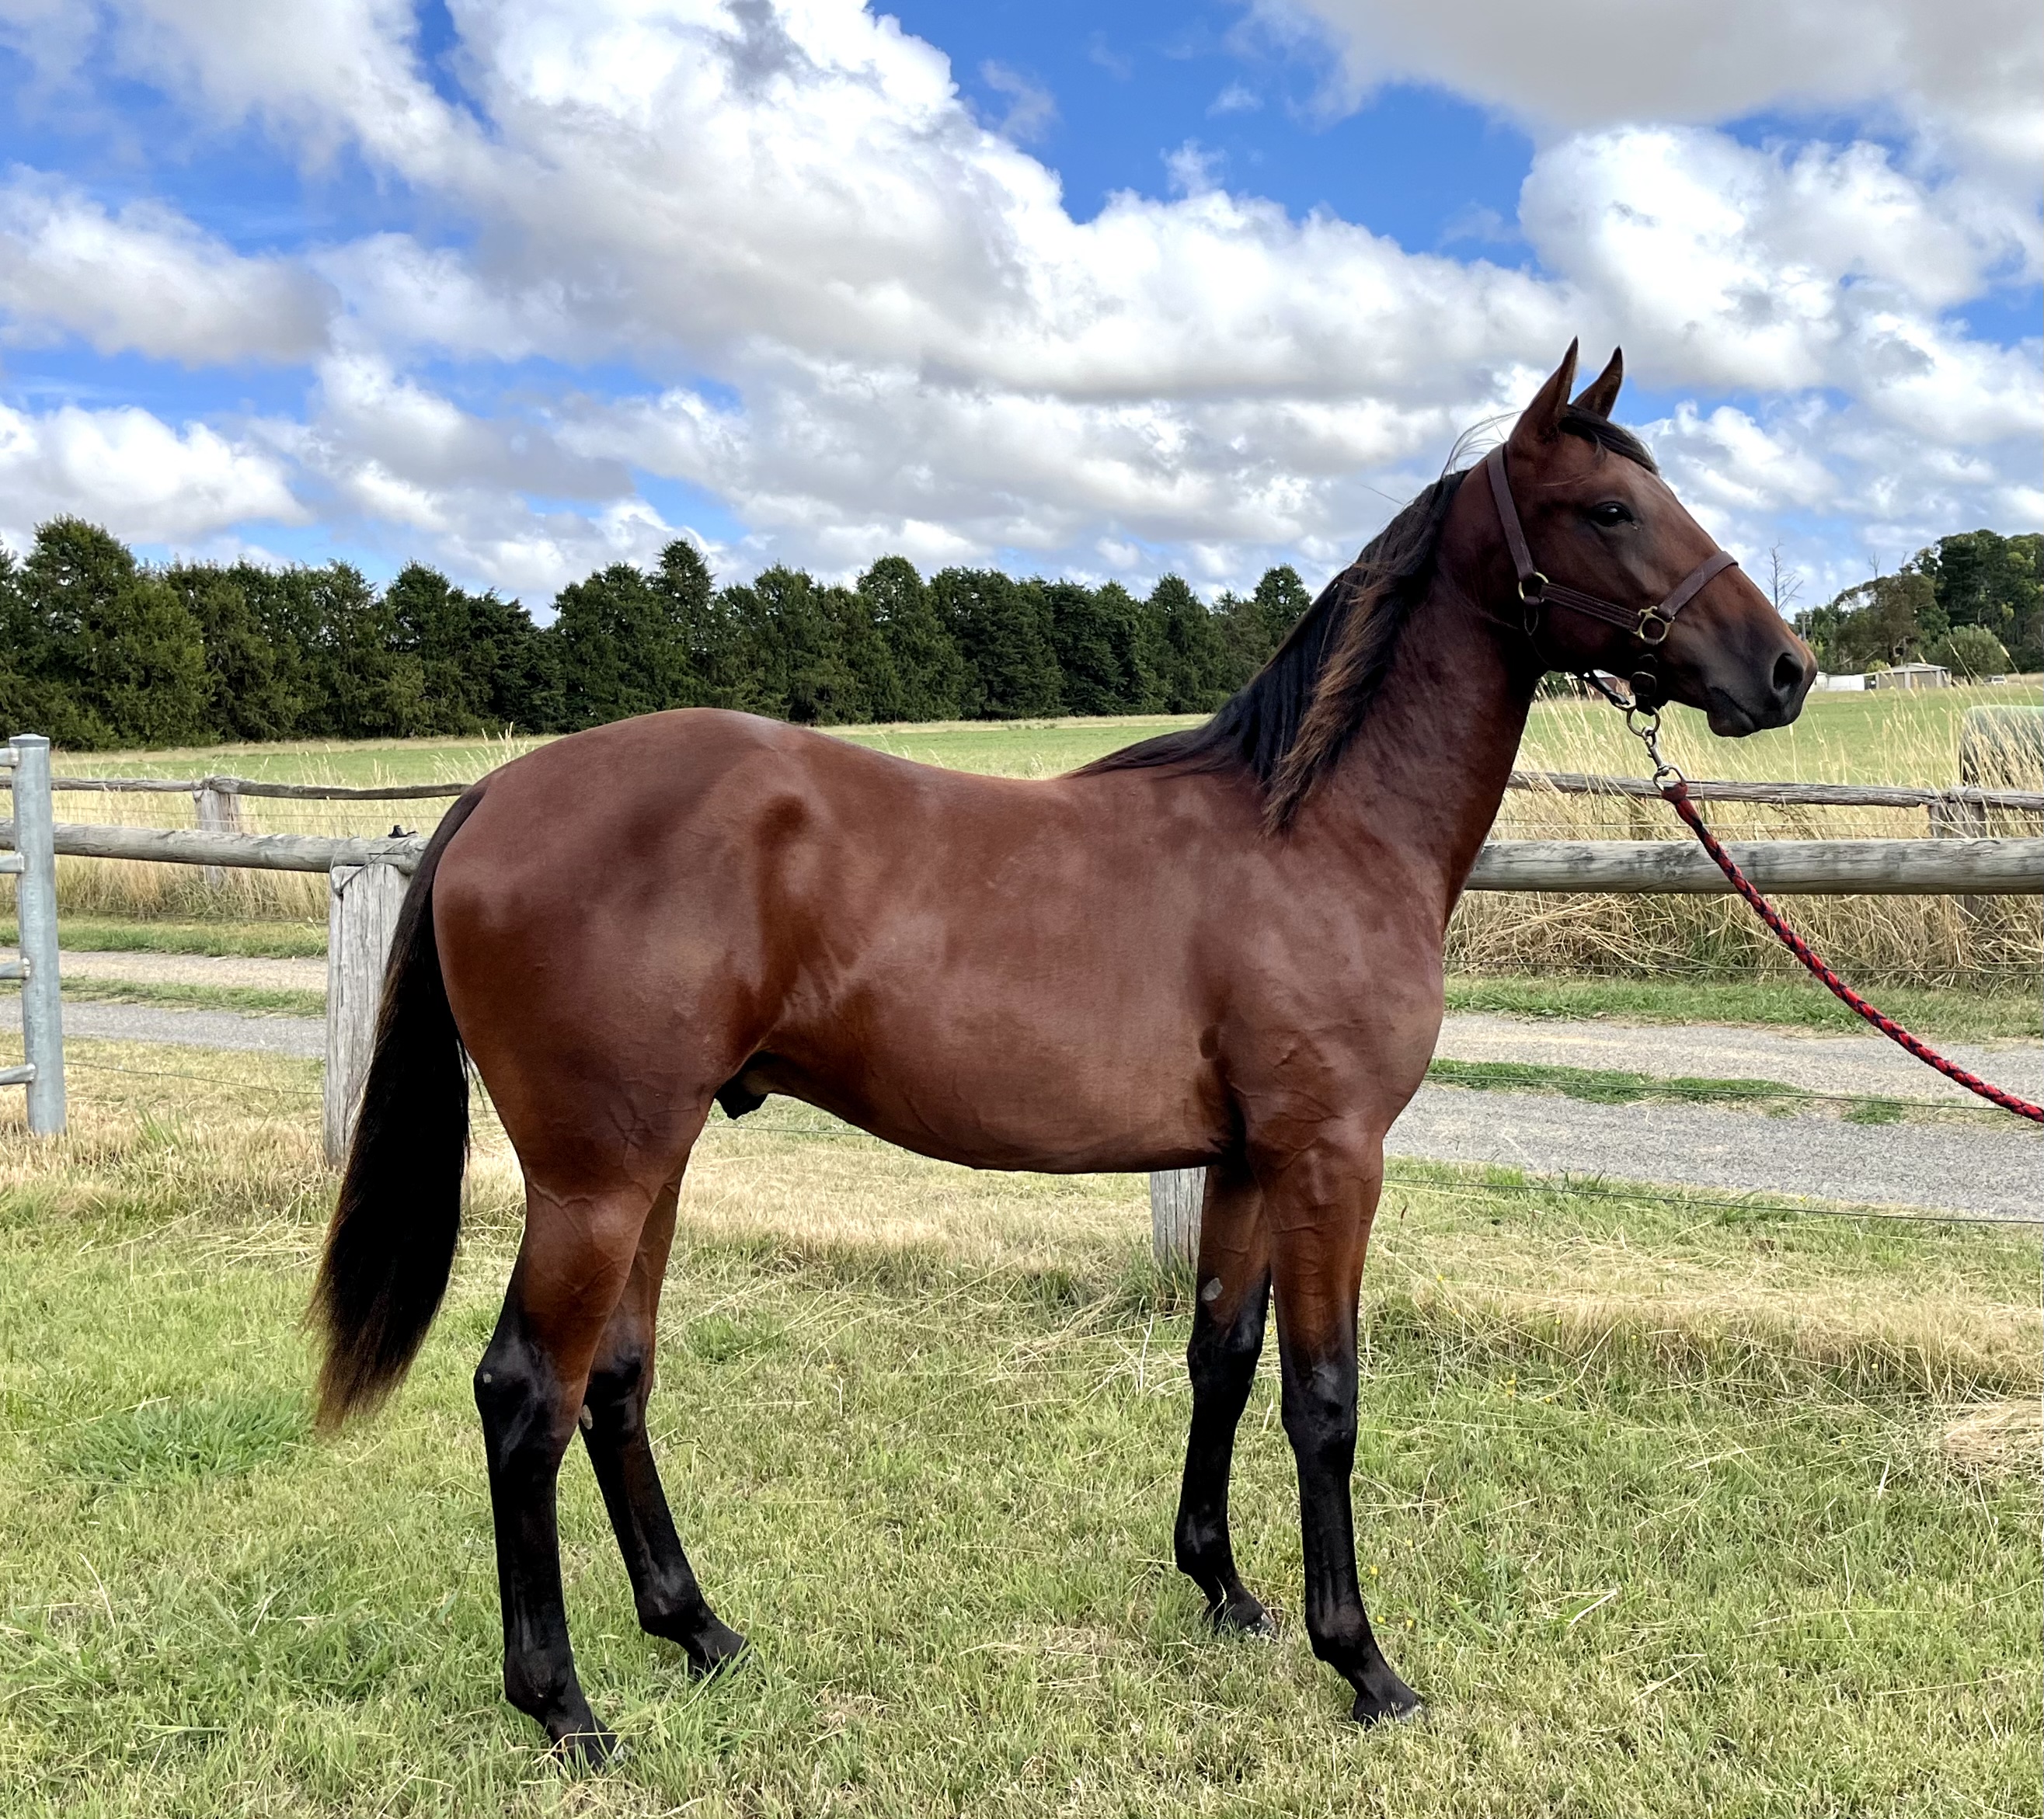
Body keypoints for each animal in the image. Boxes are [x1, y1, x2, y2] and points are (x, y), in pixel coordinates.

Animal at [310, 343, 1813, 1759]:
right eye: (1609, 507)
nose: (1783, 669)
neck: (1317, 833)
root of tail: (503, 788)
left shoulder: (1247, 1161)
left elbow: (1223, 1354)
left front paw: (1225, 1590)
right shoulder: (1332, 1158)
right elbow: (1323, 1398)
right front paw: (1362, 1664)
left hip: (653, 1165)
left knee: (615, 1382)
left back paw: (701, 1631)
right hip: (596, 1179)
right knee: (527, 1395)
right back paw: (562, 1705)